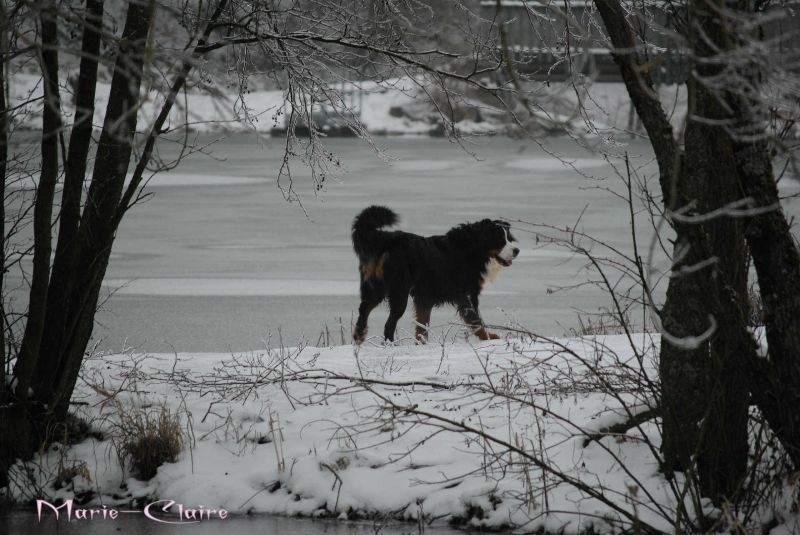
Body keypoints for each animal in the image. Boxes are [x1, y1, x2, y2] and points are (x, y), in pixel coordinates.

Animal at [350, 205, 520, 344]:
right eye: (500, 240)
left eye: (509, 238)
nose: (517, 250)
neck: (471, 248)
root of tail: (386, 239)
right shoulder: (466, 294)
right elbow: (476, 321)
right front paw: (490, 337)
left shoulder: (424, 296)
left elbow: (422, 326)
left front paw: (421, 345)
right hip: (399, 292)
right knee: (389, 325)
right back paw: (390, 346)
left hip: (375, 288)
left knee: (363, 310)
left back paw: (359, 336)